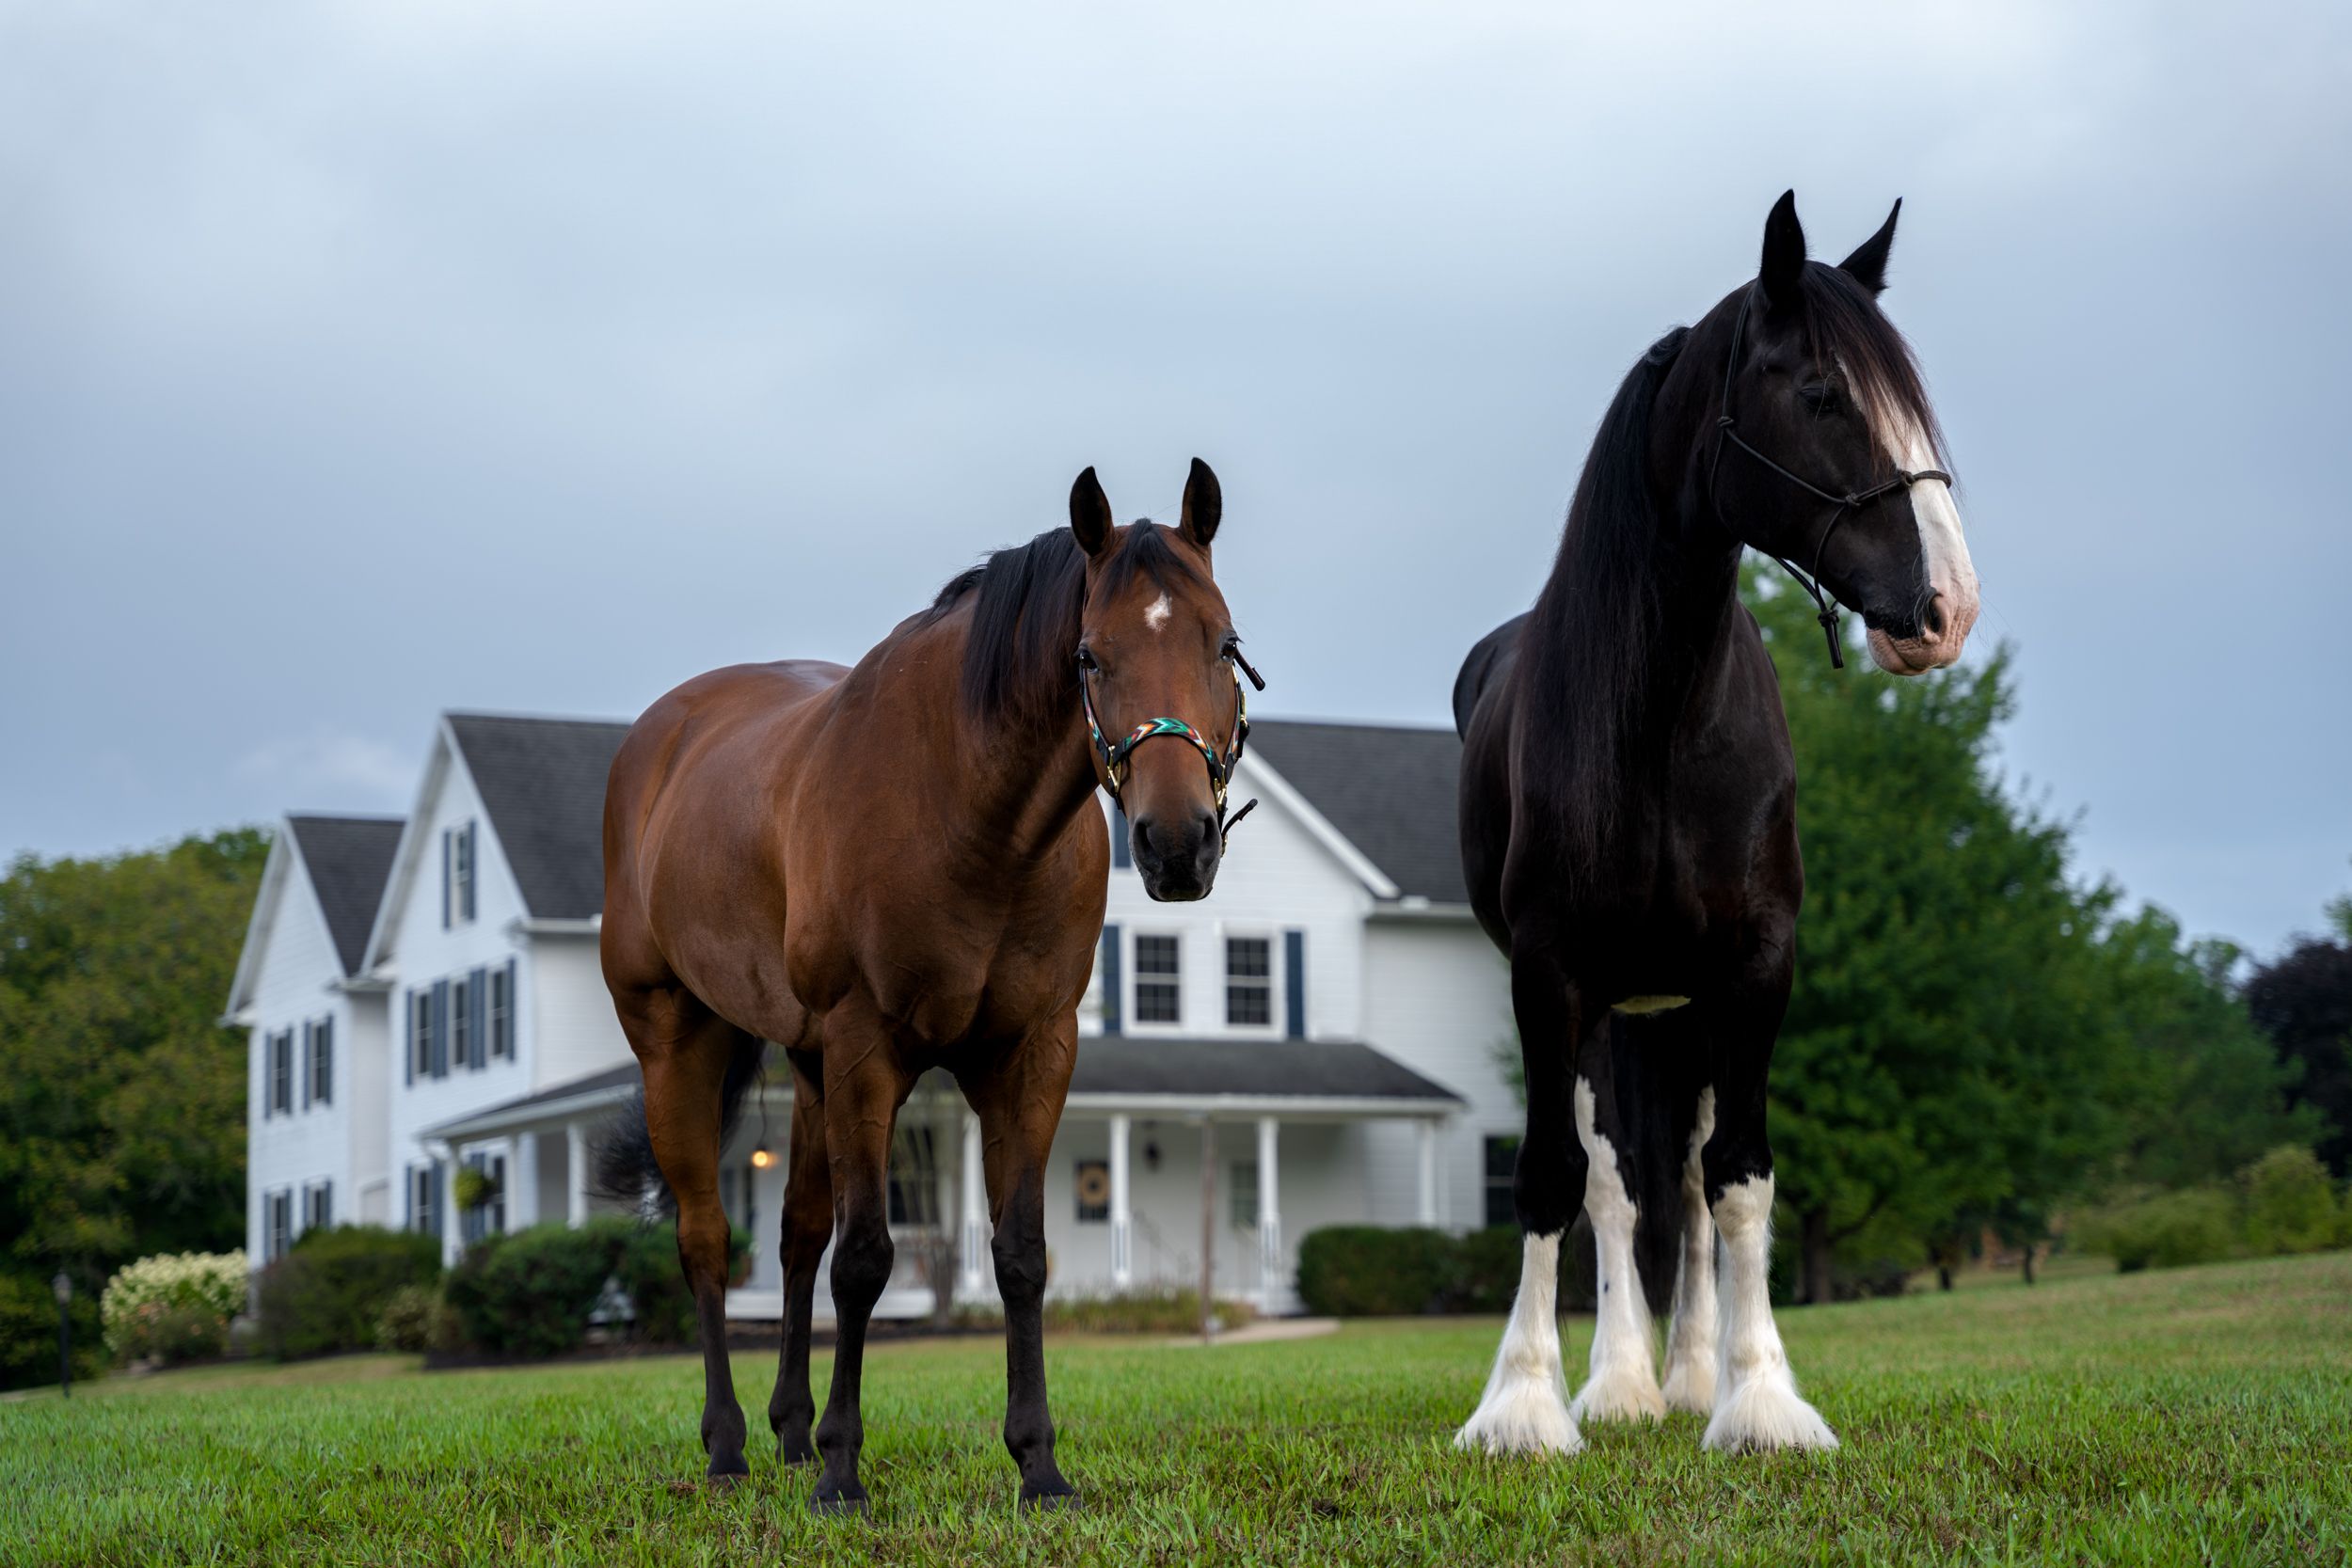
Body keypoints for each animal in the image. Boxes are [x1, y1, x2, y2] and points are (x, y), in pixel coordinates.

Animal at [602, 460, 1270, 1513]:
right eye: (1089, 655)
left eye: (1225, 643)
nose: (1175, 844)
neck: (970, 816)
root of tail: (657, 741)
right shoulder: (867, 1048)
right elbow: (868, 1257)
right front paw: (843, 1470)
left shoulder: (1031, 1051)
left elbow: (1020, 1254)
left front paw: (1038, 1464)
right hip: (679, 1041)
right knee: (707, 1237)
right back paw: (730, 1444)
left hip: (807, 1068)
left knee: (794, 1237)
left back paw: (788, 1430)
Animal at [1449, 196, 1985, 1457]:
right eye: (1823, 394)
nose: (1946, 605)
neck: (1659, 715)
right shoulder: (1550, 975)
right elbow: (1553, 1177)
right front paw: (1524, 1402)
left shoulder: (1753, 967)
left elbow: (1736, 1176)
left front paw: (1757, 1396)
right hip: (1609, 1011)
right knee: (1610, 1184)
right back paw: (1618, 1379)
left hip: (1682, 1008)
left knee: (1684, 1185)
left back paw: (1684, 1372)